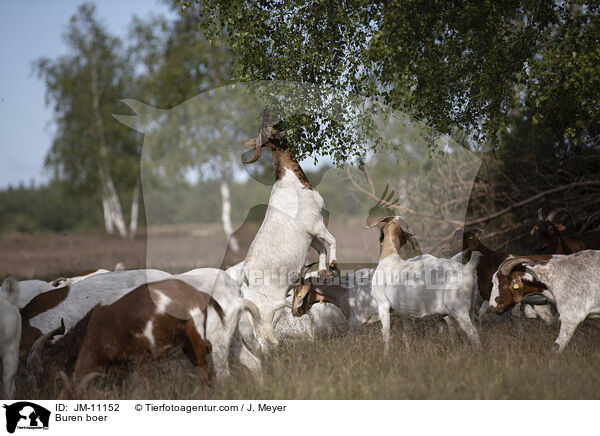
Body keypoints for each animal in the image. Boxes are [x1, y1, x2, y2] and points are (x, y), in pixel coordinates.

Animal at [240, 110, 342, 350]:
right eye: (271, 124)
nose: (269, 110)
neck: (292, 182)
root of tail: (246, 284)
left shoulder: (310, 236)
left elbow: (321, 248)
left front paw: (323, 272)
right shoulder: (315, 224)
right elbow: (332, 241)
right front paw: (333, 266)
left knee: (261, 338)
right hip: (267, 311)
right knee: (264, 338)